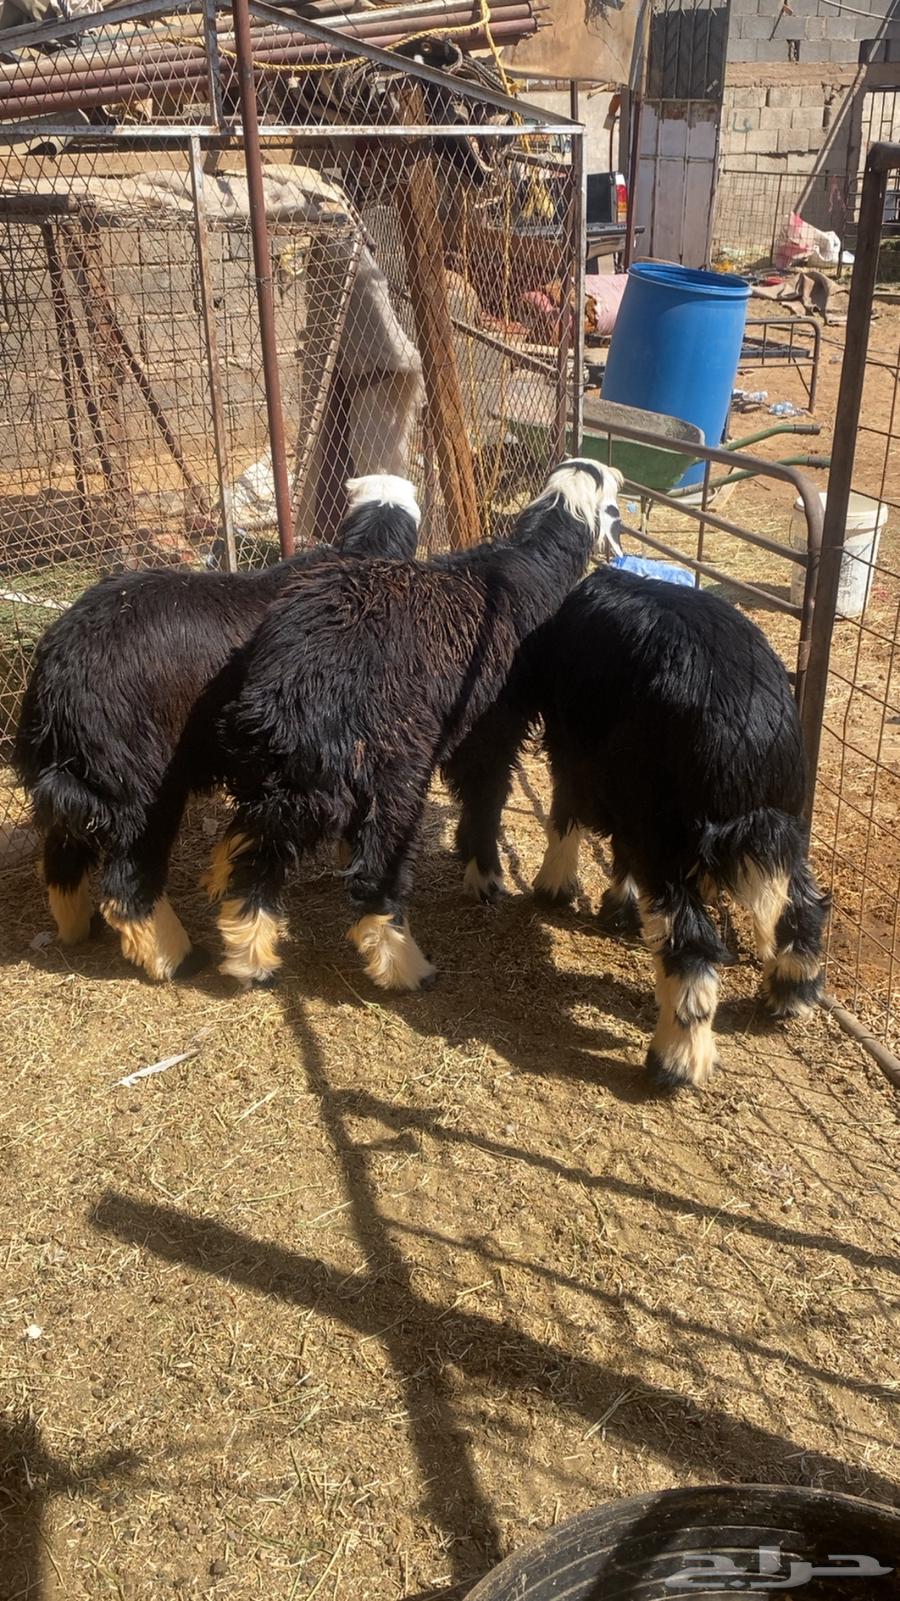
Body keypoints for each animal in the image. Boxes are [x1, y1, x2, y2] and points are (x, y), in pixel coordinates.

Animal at [14, 475, 421, 981]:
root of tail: (58, 678)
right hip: (143, 787)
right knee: (127, 884)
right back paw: (177, 959)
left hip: (82, 781)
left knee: (62, 854)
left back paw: (77, 927)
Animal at [204, 459, 624, 992]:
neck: (525, 569)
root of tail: (298, 700)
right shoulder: (492, 728)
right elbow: (486, 798)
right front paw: (485, 876)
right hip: (394, 775)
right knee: (375, 872)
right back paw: (403, 966)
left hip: (275, 783)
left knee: (258, 855)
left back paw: (250, 958)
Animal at [464, 563, 830, 1090]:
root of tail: (747, 739)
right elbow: (617, 849)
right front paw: (617, 908)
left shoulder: (580, 753)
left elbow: (566, 814)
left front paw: (554, 890)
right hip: (783, 826)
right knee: (804, 906)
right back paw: (791, 994)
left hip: (670, 837)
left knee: (691, 949)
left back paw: (674, 1063)